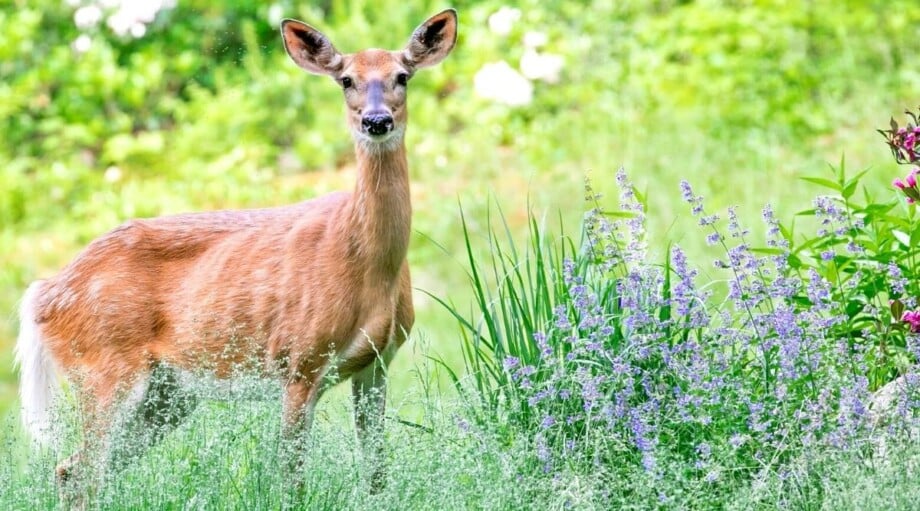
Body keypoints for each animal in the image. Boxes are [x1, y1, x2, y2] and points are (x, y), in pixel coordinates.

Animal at [14, 8, 457, 497]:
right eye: (346, 80)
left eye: (402, 76)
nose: (376, 121)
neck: (368, 266)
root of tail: (42, 293)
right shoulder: (299, 361)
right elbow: (292, 479)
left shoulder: (377, 364)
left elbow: (377, 474)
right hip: (103, 369)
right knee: (85, 472)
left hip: (167, 393)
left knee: (73, 470)